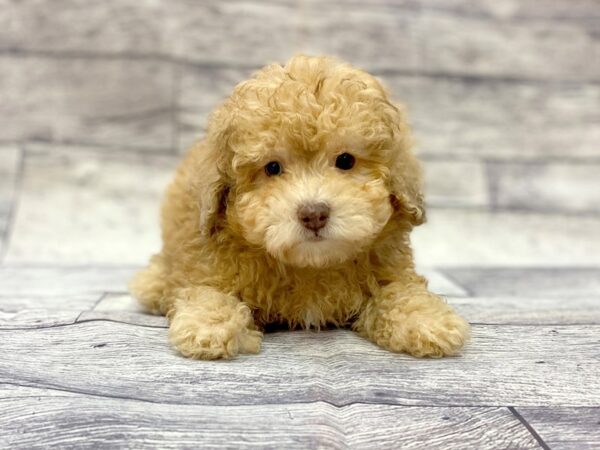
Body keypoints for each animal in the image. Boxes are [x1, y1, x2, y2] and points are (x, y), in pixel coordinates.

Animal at [130, 54, 468, 360]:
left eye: (346, 160)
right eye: (272, 168)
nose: (313, 214)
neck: (310, 265)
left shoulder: (389, 269)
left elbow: (401, 292)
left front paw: (427, 320)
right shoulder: (208, 264)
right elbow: (208, 293)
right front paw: (208, 326)